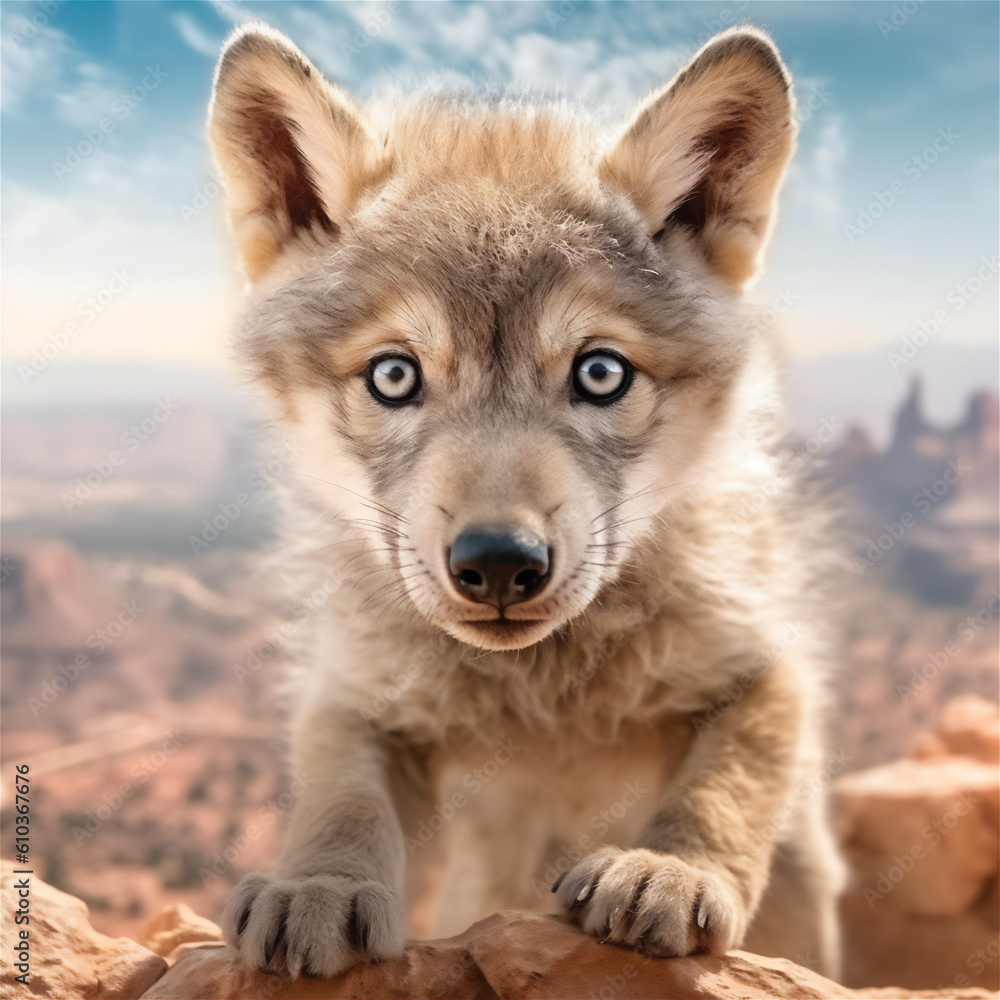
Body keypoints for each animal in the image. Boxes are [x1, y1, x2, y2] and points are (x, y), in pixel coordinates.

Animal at [208, 20, 844, 981]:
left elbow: (723, 787)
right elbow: (342, 798)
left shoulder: (766, 663)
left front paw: (667, 868)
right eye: (393, 376)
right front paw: (316, 886)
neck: (540, 699)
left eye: (601, 372)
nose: (500, 563)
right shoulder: (359, 696)